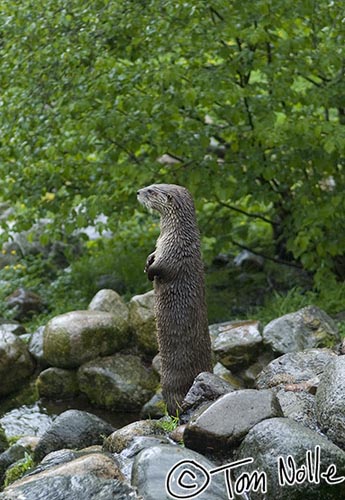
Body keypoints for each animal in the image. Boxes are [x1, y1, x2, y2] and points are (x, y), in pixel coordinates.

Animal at [136, 184, 211, 414]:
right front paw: (147, 260)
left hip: (171, 381)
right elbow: (152, 256)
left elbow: (161, 269)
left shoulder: (173, 253)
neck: (173, 236)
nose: (138, 192)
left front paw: (150, 271)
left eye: (151, 190)